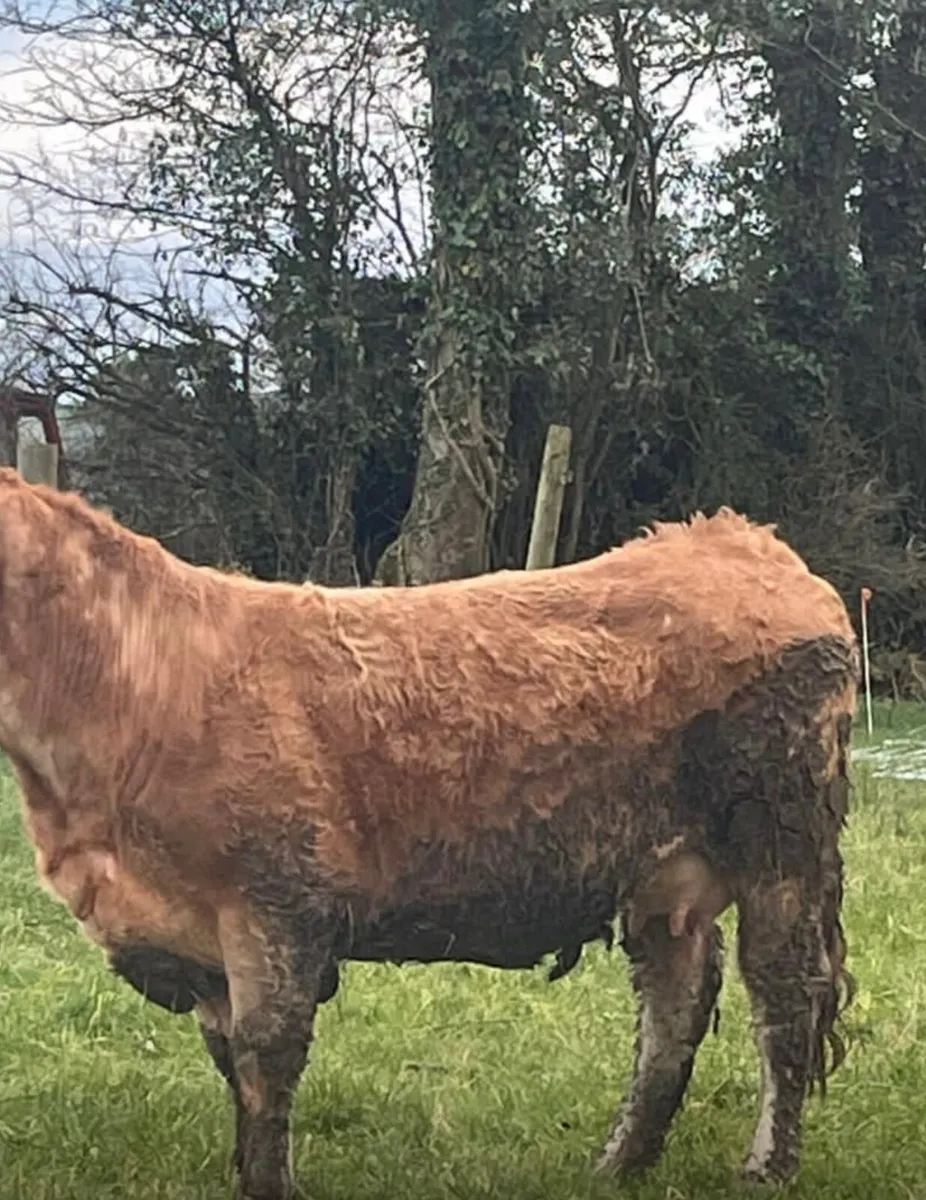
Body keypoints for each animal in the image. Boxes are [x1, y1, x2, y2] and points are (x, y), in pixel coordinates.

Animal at [0, 468, 858, 1199]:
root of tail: (735, 536)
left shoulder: (276, 906)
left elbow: (265, 1059)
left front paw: (270, 1181)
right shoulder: (196, 933)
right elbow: (231, 1066)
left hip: (783, 844)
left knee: (784, 993)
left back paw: (766, 1170)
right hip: (662, 875)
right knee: (676, 1003)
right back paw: (619, 1165)